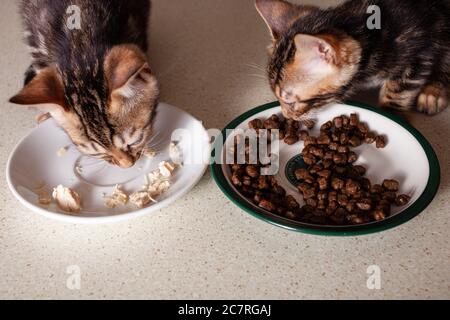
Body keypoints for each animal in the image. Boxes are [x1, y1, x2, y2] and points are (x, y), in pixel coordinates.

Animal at [255, 0, 448, 120]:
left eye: (290, 102)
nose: (286, 116)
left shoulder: (421, 55)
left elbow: (398, 92)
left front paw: (392, 115)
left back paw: (433, 91)